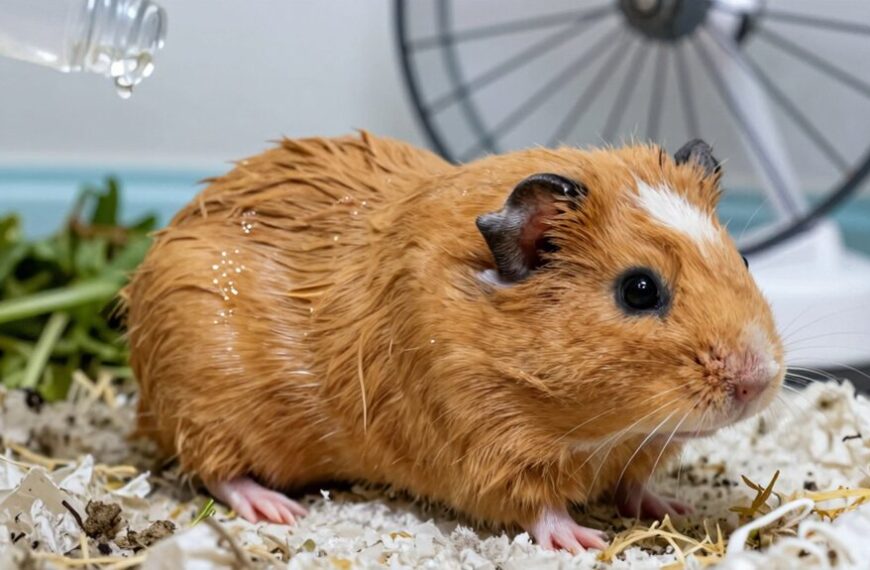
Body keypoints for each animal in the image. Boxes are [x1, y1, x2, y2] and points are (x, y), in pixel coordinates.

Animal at [123, 132, 784, 552]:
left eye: (745, 259)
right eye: (640, 289)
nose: (757, 380)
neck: (600, 434)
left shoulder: (633, 451)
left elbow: (635, 485)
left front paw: (675, 509)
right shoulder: (489, 449)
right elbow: (538, 508)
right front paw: (583, 540)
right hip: (206, 410)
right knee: (217, 473)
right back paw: (279, 509)